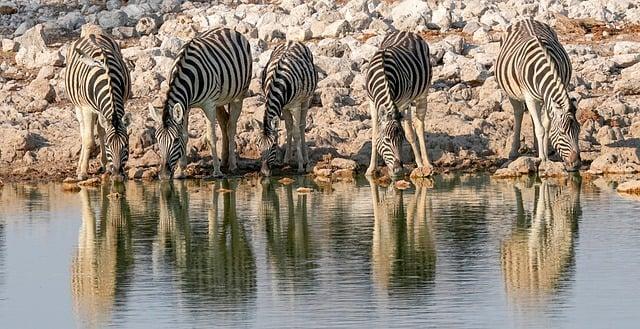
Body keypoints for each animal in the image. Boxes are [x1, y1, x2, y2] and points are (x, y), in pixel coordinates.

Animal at [65, 32, 131, 182]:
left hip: (100, 111)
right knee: (84, 131)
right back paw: (80, 167)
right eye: (108, 145)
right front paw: (83, 172)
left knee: (100, 130)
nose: (117, 176)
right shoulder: (87, 109)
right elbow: (89, 140)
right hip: (78, 105)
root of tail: (91, 34)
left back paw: (104, 164)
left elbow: (102, 131)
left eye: (126, 145)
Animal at [149, 28, 251, 179]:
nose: (163, 175)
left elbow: (211, 138)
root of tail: (228, 29)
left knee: (231, 126)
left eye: (175, 140)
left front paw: (217, 172)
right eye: (157, 140)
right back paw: (224, 160)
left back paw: (232, 165)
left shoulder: (209, 105)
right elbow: (185, 136)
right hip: (219, 100)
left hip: (238, 95)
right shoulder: (185, 106)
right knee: (224, 122)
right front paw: (181, 171)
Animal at [258, 40, 318, 177]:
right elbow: (288, 128)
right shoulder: (283, 106)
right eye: (259, 146)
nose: (264, 172)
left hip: (305, 99)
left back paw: (305, 159)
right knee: (290, 126)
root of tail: (292, 41)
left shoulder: (295, 105)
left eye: (274, 145)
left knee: (301, 126)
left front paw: (300, 166)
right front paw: (286, 159)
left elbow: (296, 133)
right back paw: (287, 158)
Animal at [362, 31, 432, 177]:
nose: (398, 169)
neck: (383, 74)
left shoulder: (403, 103)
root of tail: (406, 31)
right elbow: (374, 134)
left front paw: (419, 165)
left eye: (401, 140)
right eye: (386, 140)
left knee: (418, 126)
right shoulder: (371, 101)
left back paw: (425, 163)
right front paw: (371, 168)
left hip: (422, 93)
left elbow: (409, 134)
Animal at [498, 18, 584, 170]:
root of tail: (526, 19)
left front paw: (544, 155)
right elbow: (541, 129)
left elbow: (546, 126)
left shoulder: (547, 98)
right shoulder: (530, 97)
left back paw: (537, 148)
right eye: (562, 132)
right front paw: (543, 158)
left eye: (579, 130)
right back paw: (514, 151)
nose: (576, 164)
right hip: (512, 93)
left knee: (535, 119)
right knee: (519, 113)